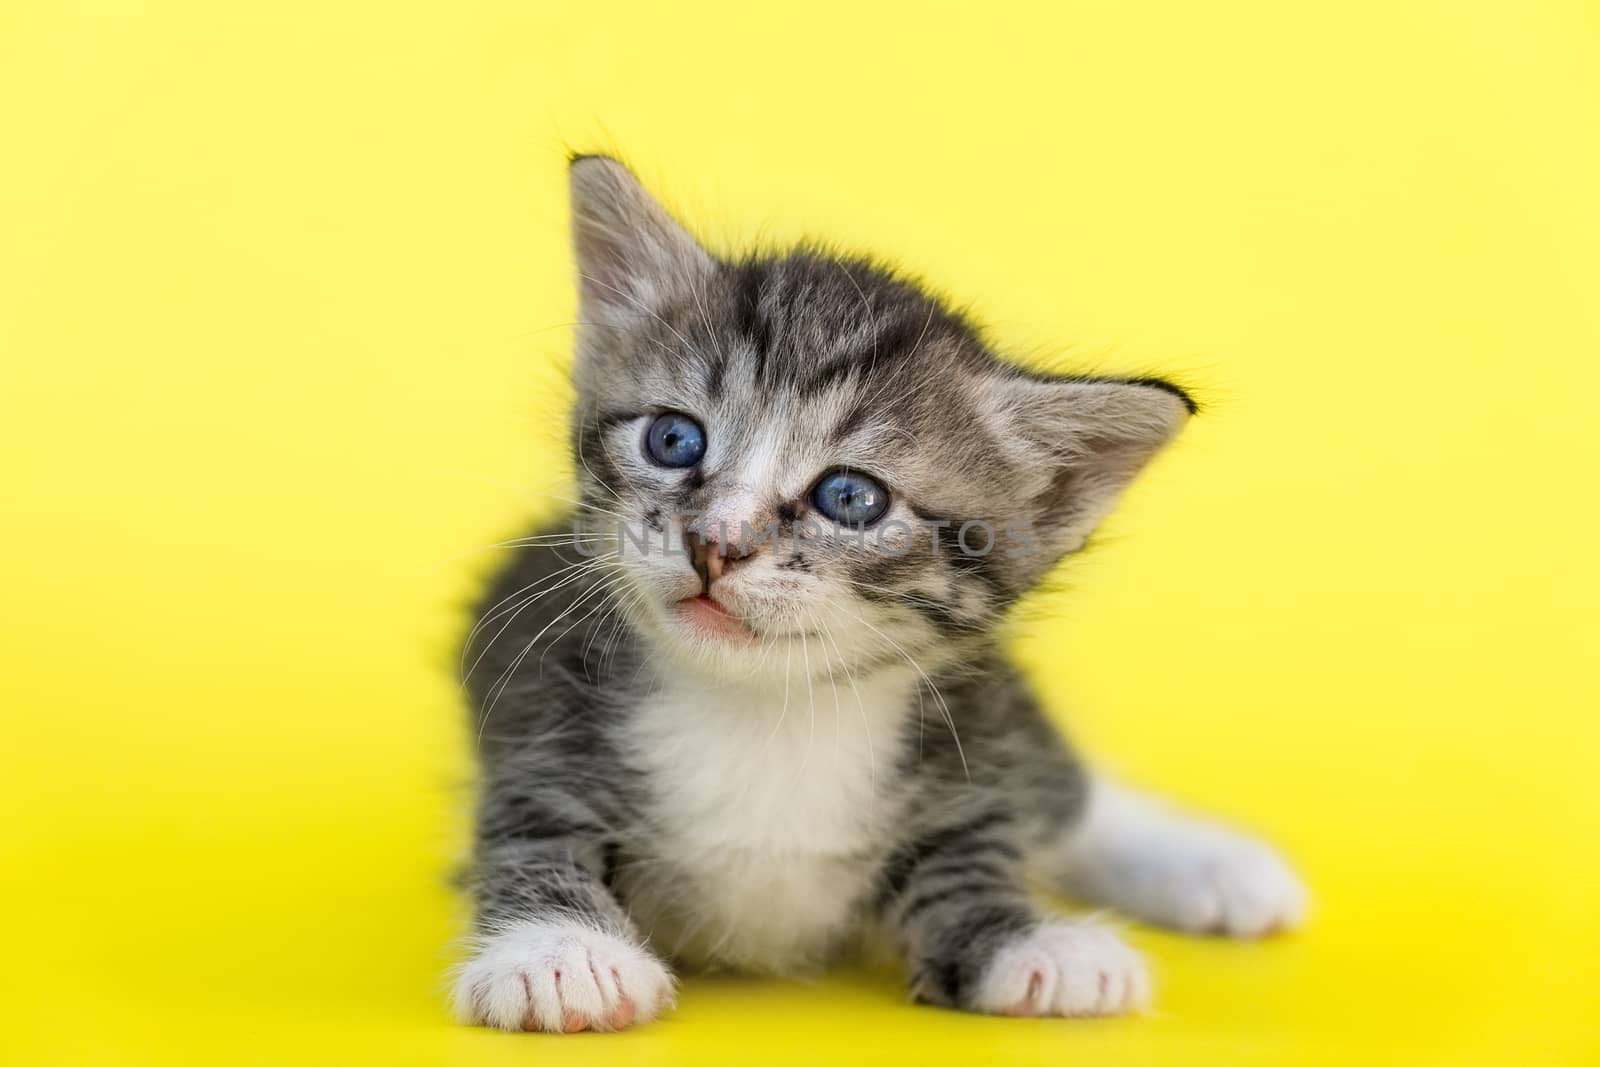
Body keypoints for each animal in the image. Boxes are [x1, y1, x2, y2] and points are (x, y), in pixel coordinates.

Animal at [457, 158, 1305, 1036]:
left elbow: (974, 853)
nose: (716, 542)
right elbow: (531, 833)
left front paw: (1030, 942)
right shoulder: (532, 715)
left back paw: (1217, 864)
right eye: (674, 439)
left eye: (851, 498)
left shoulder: (966, 748)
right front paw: (559, 952)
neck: (766, 713)